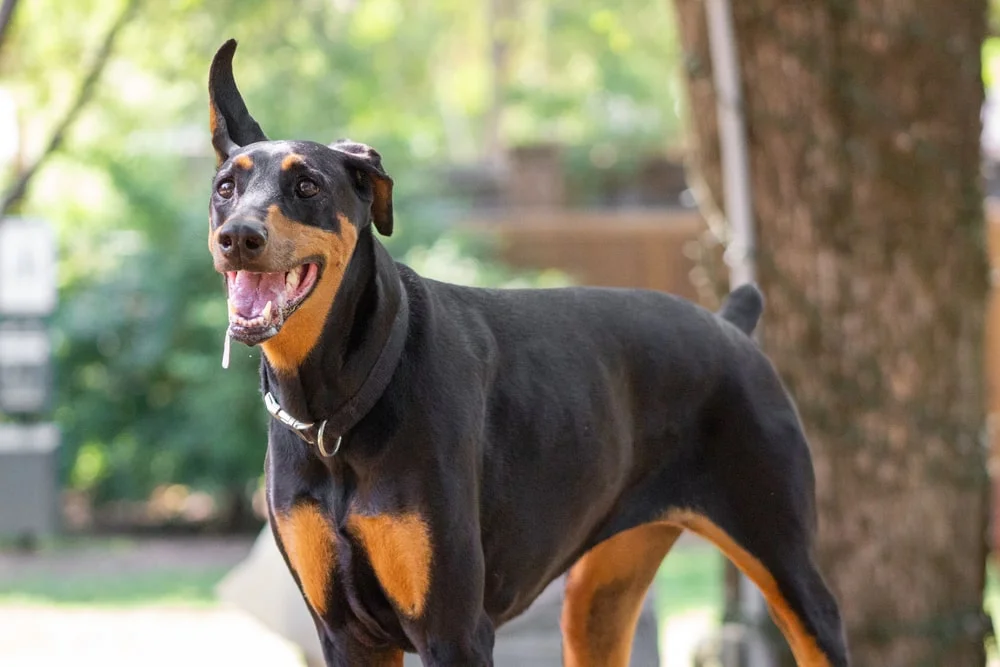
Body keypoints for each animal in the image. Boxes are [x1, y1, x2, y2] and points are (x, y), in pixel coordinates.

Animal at [207, 40, 848, 667]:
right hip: (599, 595)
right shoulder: (345, 634)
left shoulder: (454, 630)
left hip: (785, 564)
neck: (335, 409)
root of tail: (730, 327)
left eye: (307, 186)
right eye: (225, 188)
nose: (239, 236)